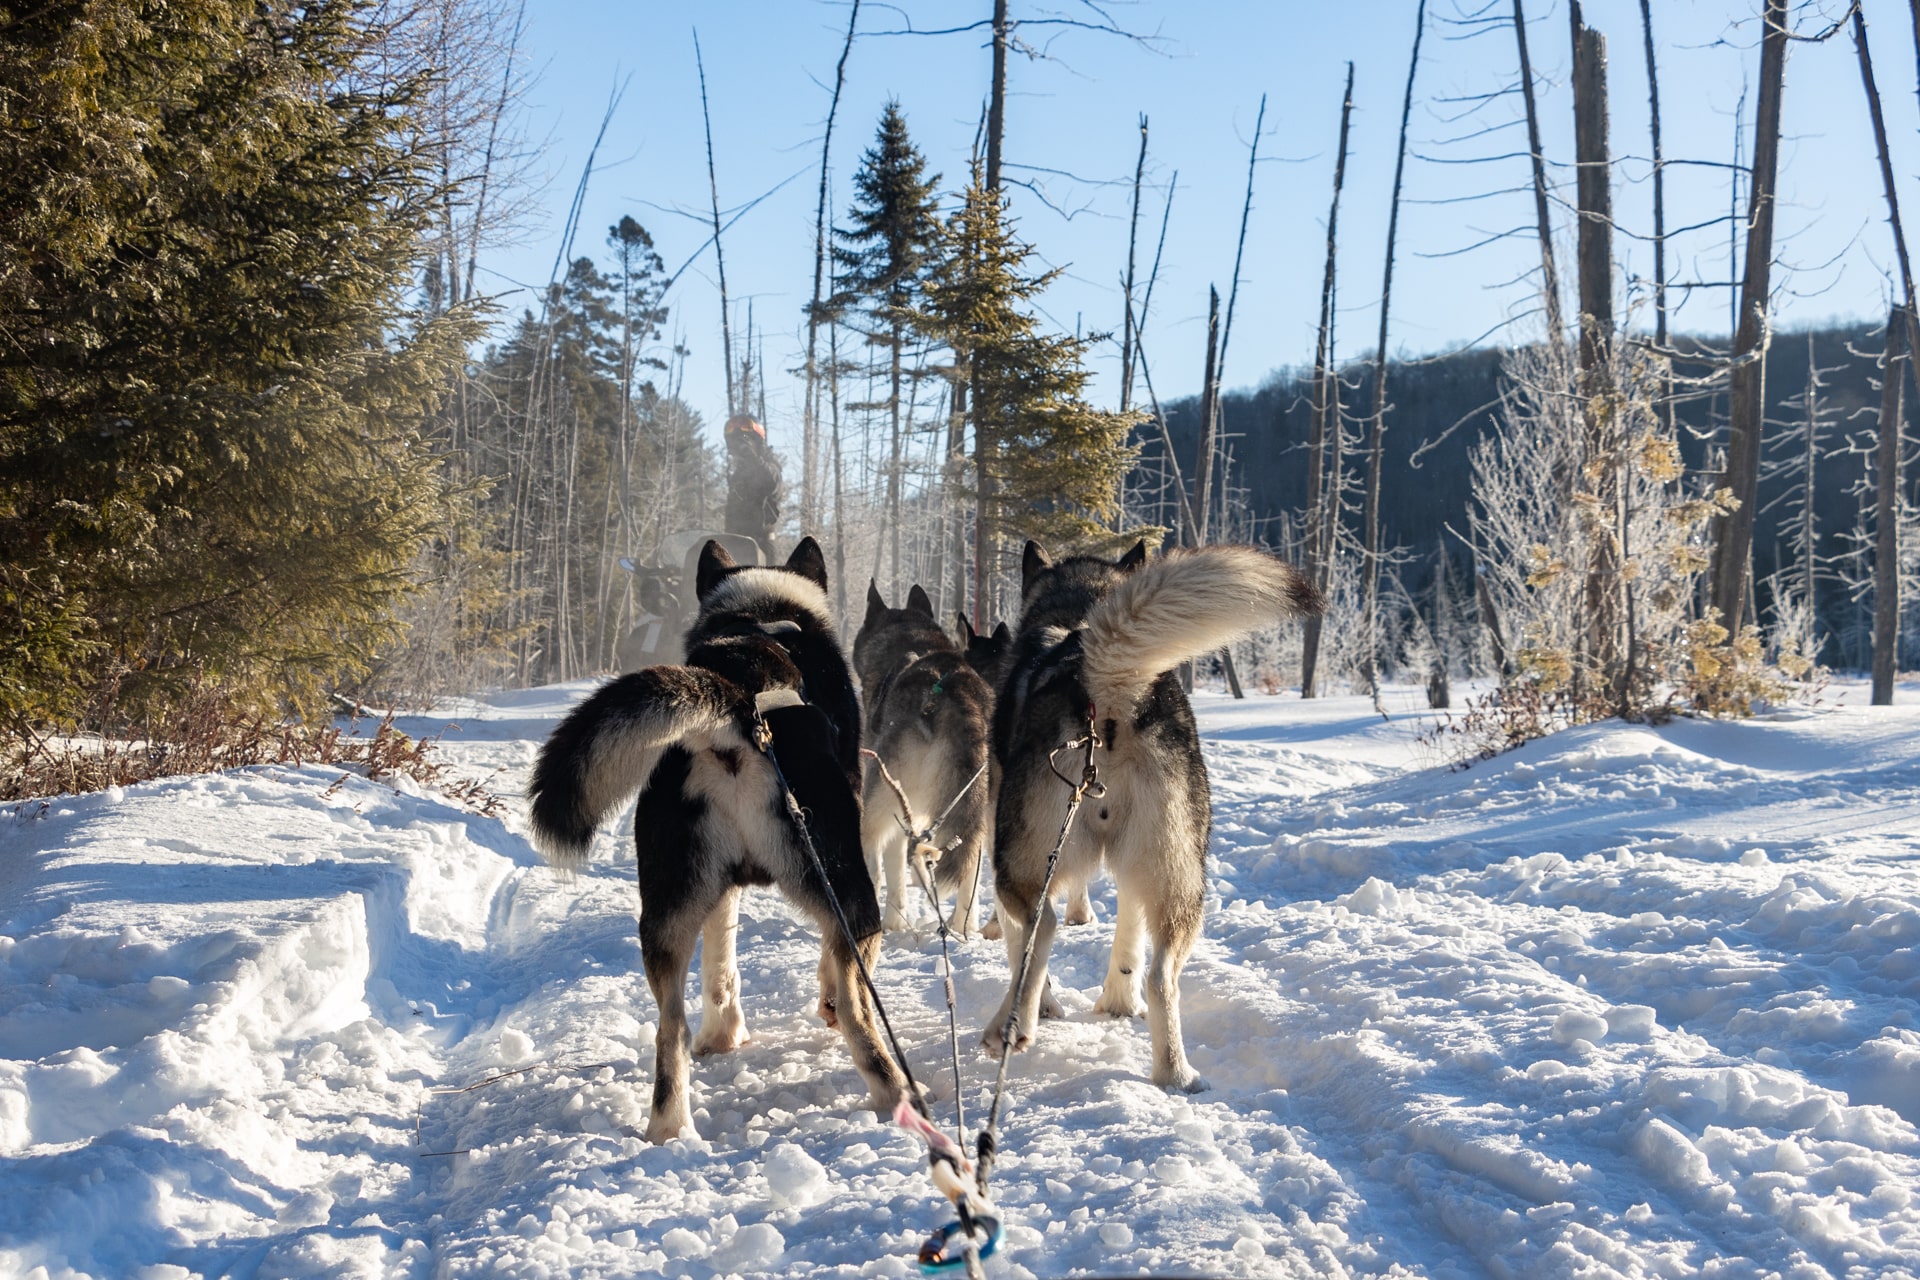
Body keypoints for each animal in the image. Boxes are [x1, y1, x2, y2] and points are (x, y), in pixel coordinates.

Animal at [526, 537, 906, 1143]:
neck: (761, 615)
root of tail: (736, 710)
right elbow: (832, 965)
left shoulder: (719, 893)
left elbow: (720, 966)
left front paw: (724, 1034)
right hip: (848, 889)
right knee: (856, 1011)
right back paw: (902, 1097)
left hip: (666, 913)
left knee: (670, 1030)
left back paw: (669, 1130)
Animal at [864, 579, 998, 932]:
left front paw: (894, 922)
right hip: (979, 811)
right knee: (971, 867)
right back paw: (962, 928)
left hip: (881, 796)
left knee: (872, 855)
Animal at [983, 541, 1328, 1090]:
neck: (1076, 612)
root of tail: (1106, 685)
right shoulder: (1134, 875)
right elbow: (1129, 944)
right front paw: (1119, 1004)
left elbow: (1019, 948)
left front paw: (1051, 1004)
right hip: (1178, 880)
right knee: (1160, 976)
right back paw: (1175, 1072)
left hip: (1022, 865)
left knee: (1043, 932)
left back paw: (1011, 1025)